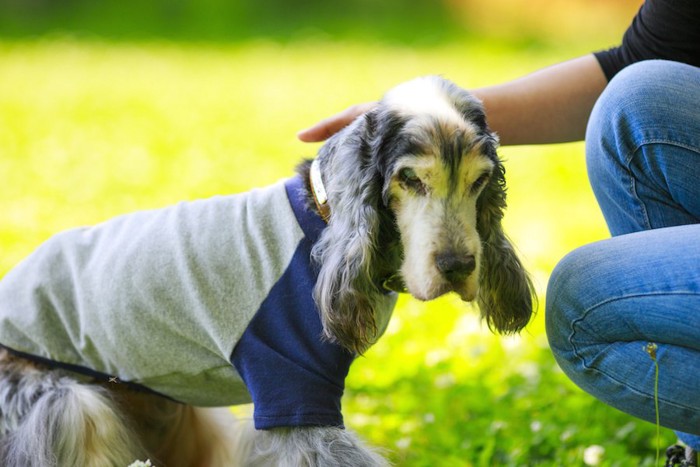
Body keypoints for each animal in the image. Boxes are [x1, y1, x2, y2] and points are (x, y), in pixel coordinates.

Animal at [0, 75, 532, 466]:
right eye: (409, 179)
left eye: (479, 181)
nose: (458, 266)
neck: (324, 224)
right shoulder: (294, 391)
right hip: (65, 403)